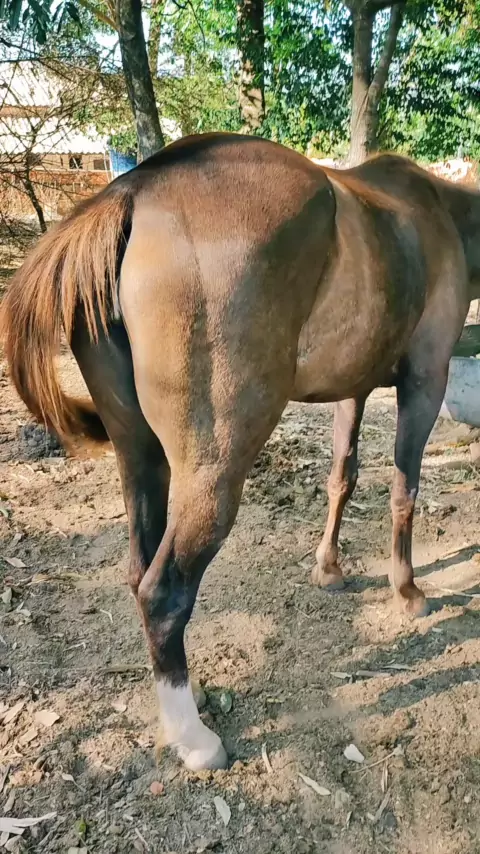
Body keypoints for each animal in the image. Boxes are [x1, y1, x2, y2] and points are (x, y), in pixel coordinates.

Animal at [1, 133, 479, 772]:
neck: (440, 214)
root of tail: (133, 189)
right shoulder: (425, 380)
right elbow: (404, 490)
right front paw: (407, 591)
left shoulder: (352, 389)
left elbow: (343, 477)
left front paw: (329, 569)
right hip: (215, 472)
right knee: (164, 592)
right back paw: (194, 739)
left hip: (140, 456)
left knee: (140, 571)